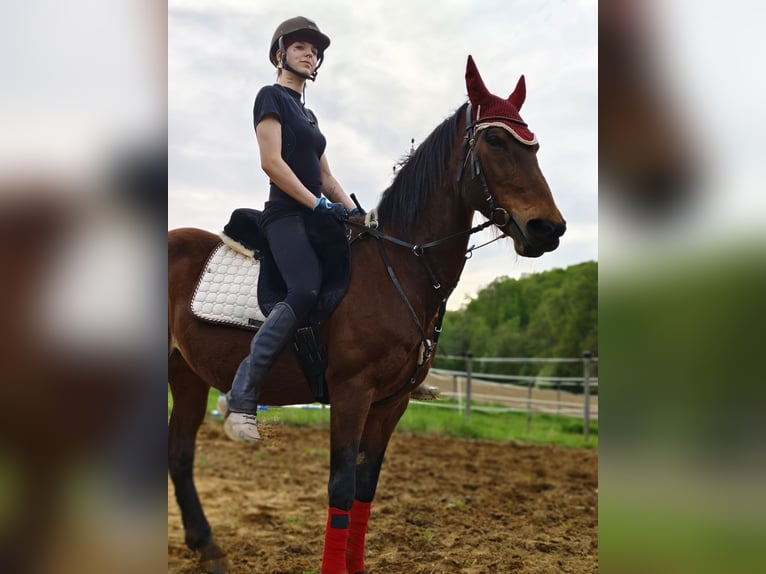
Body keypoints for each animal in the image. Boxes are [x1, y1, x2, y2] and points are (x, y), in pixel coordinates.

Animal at [168, 55, 565, 574]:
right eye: (496, 141)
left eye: (534, 144)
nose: (549, 229)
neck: (398, 265)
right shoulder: (352, 393)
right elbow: (340, 488)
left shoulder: (390, 402)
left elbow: (364, 488)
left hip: (187, 374)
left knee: (179, 452)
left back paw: (207, 546)